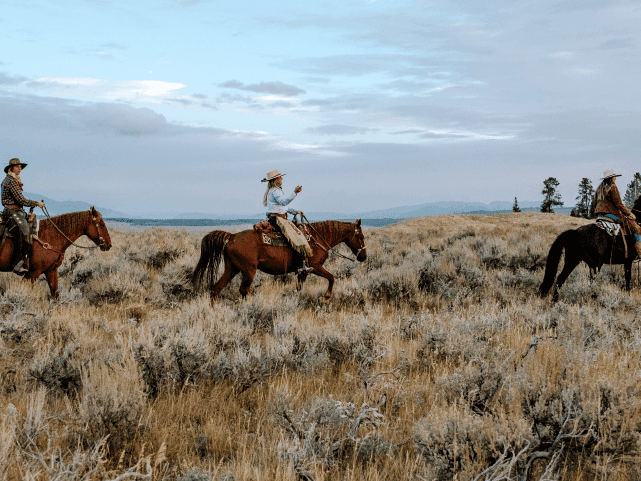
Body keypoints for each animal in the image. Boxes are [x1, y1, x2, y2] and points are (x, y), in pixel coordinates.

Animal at [191, 218, 364, 304]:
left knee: (216, 288)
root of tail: (232, 236)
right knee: (244, 290)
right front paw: (327, 297)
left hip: (232, 268)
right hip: (248, 270)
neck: (316, 238)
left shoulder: (303, 272)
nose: (364, 256)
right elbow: (332, 277)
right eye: (361, 236)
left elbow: (299, 288)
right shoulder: (315, 267)